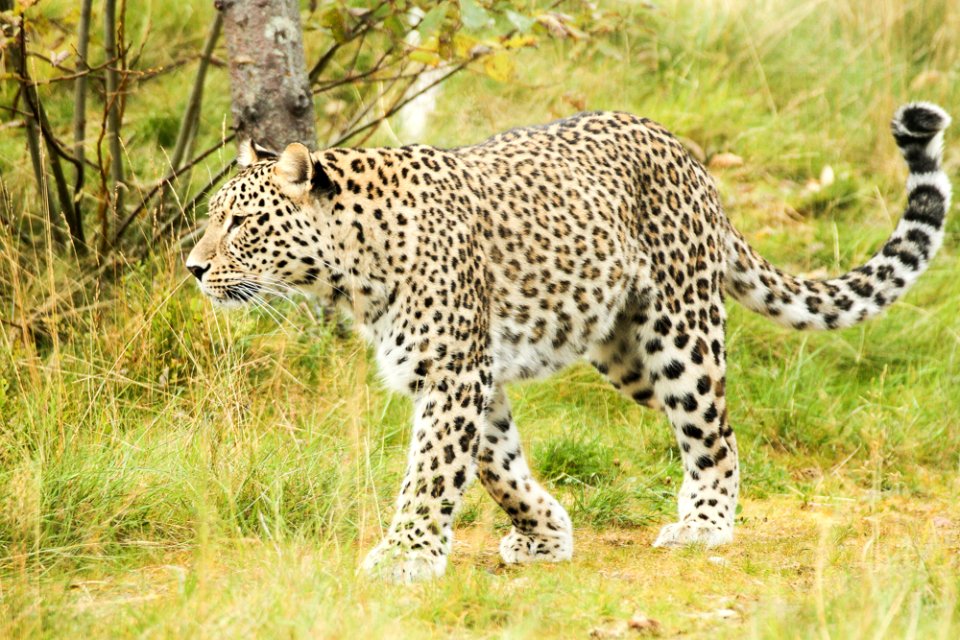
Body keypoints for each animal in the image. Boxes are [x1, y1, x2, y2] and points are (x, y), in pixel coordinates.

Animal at [188, 102, 952, 584]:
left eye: (239, 223)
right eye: (212, 218)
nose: (192, 267)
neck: (351, 270)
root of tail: (685, 154)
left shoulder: (454, 373)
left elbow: (432, 472)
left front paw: (405, 555)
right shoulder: (474, 375)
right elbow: (497, 466)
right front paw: (544, 534)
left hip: (680, 334)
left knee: (714, 429)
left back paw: (705, 523)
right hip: (626, 355)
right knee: (713, 424)